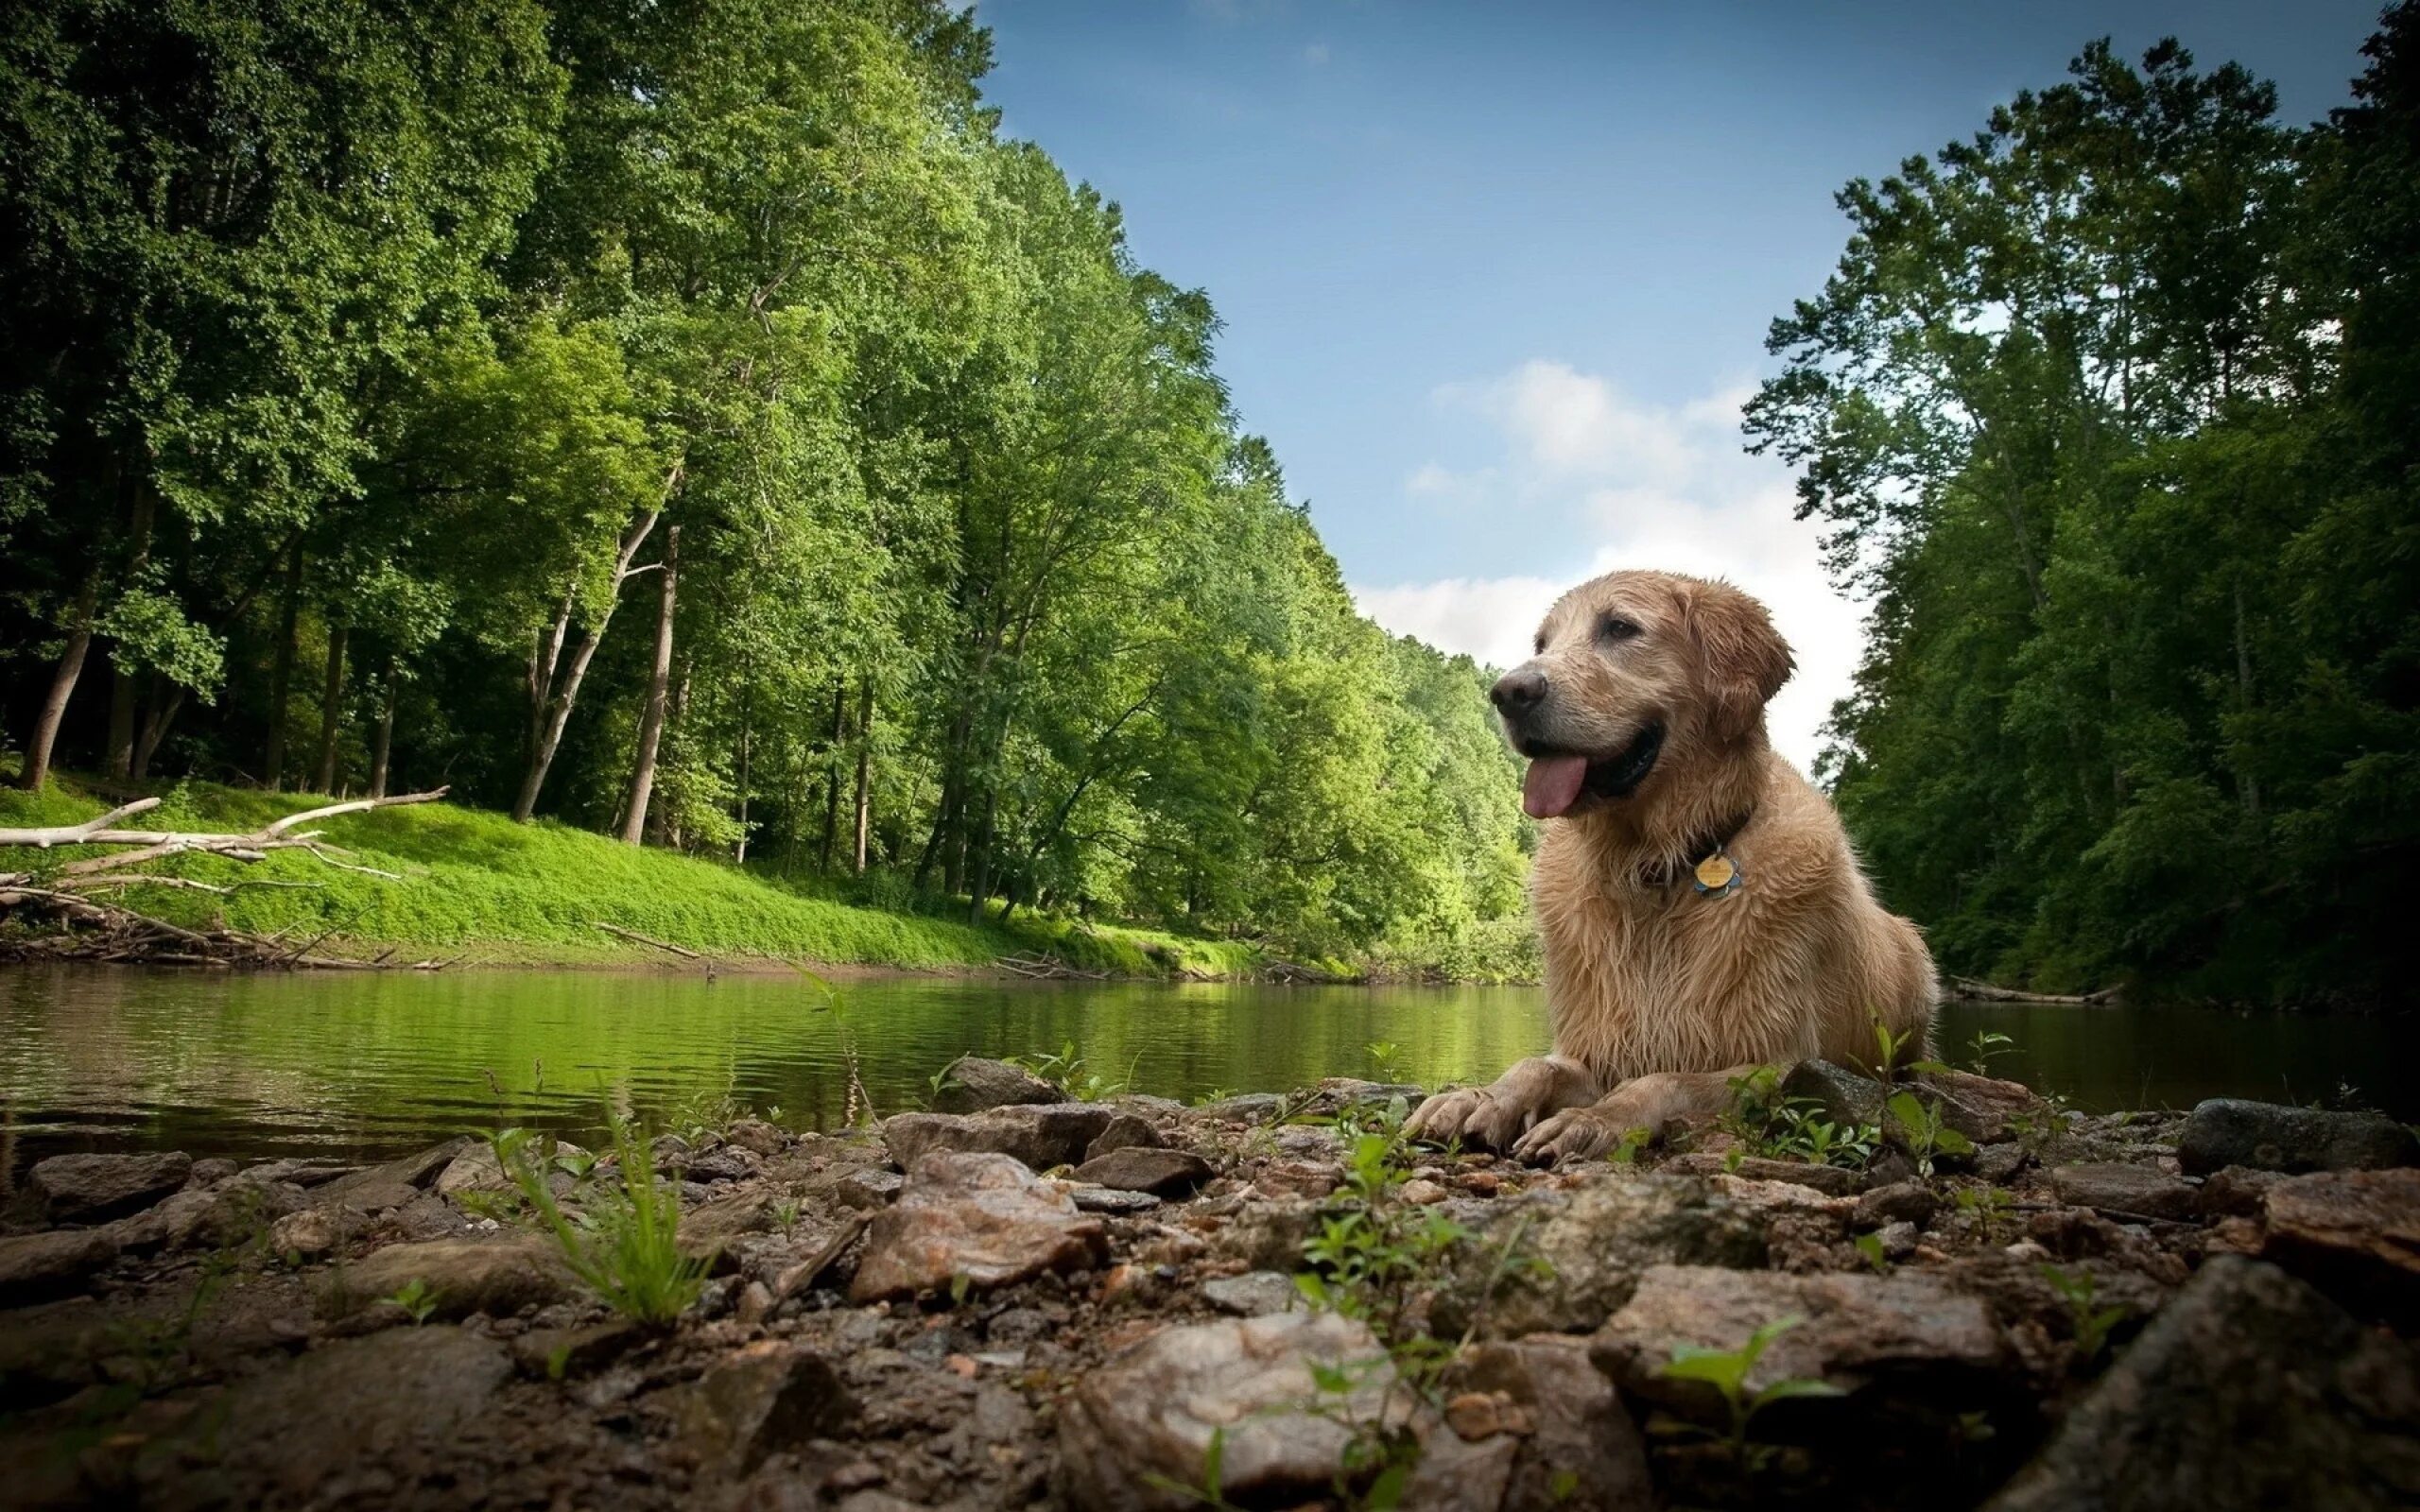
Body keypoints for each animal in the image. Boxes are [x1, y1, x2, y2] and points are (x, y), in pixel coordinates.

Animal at [1413, 571, 1936, 1160]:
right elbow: (1533, 1065)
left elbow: (1662, 1081)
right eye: (1542, 644)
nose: (1509, 693)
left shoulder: (1778, 1062)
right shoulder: (1597, 1046)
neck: (1656, 870)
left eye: (1621, 627)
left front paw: (1592, 1120)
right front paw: (1476, 1099)